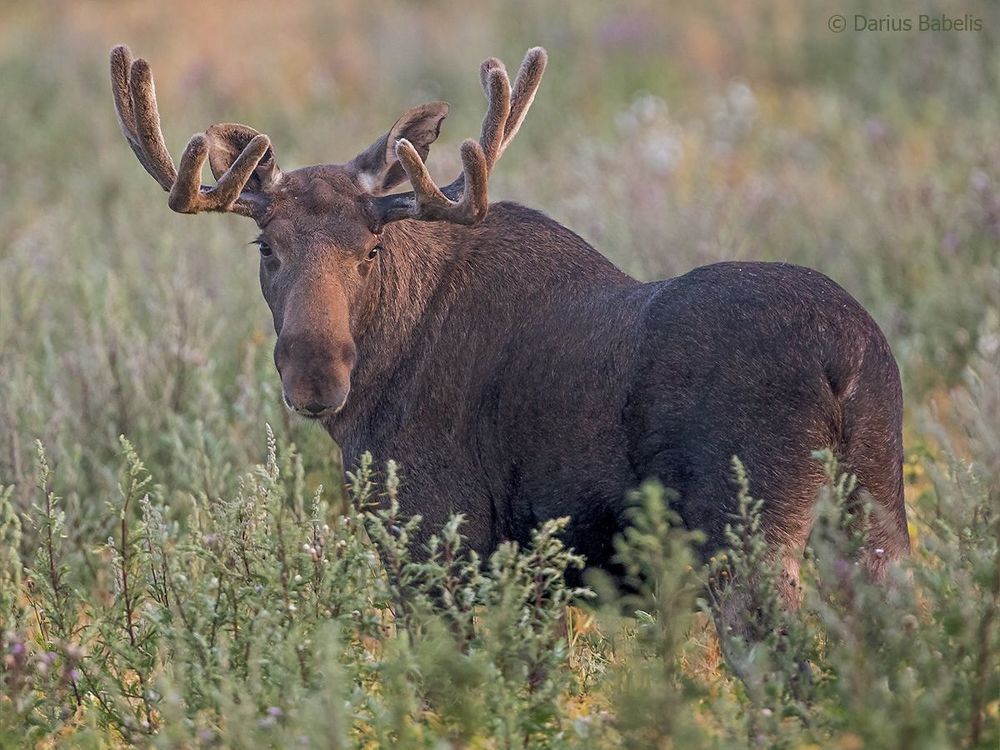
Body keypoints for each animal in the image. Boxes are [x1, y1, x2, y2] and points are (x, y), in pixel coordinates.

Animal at [109, 44, 909, 607]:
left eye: (371, 248)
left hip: (743, 538)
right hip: (877, 514)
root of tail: (846, 358)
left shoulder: (439, 537)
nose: (316, 377)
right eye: (266, 247)